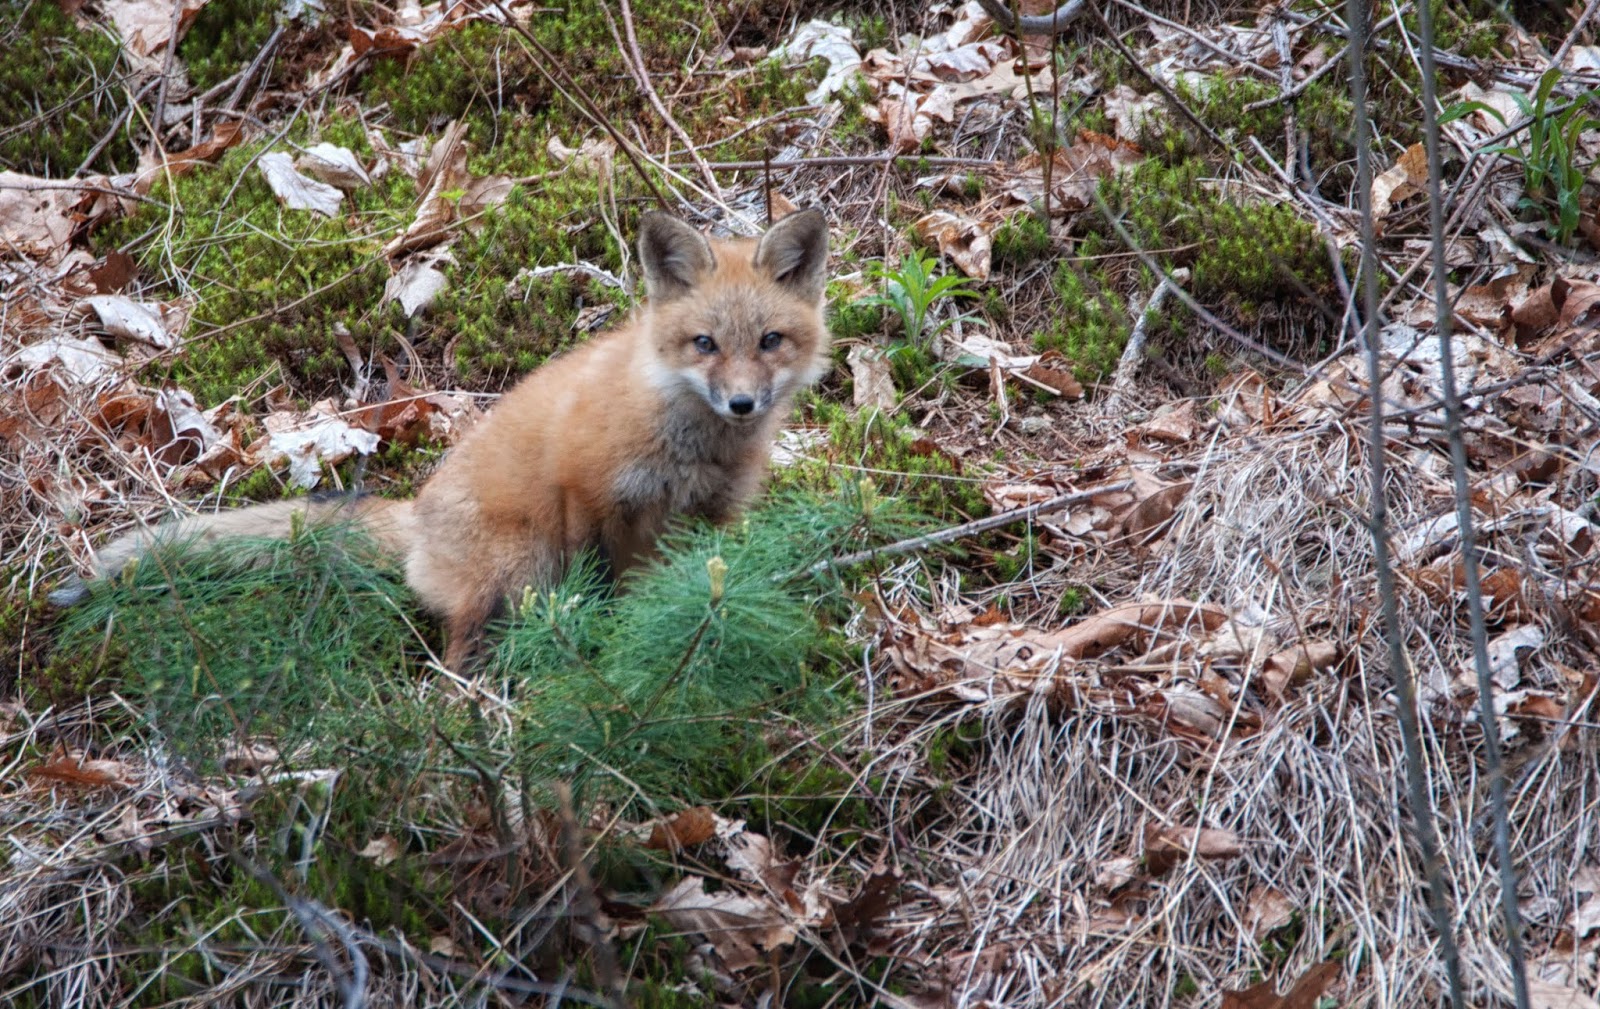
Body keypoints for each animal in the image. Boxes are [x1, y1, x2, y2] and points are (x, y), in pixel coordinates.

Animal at [52, 208, 833, 669]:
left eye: (769, 341)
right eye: (704, 343)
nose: (742, 403)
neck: (690, 439)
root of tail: (417, 514)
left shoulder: (716, 513)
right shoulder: (590, 493)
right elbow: (607, 582)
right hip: (516, 564)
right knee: (455, 652)